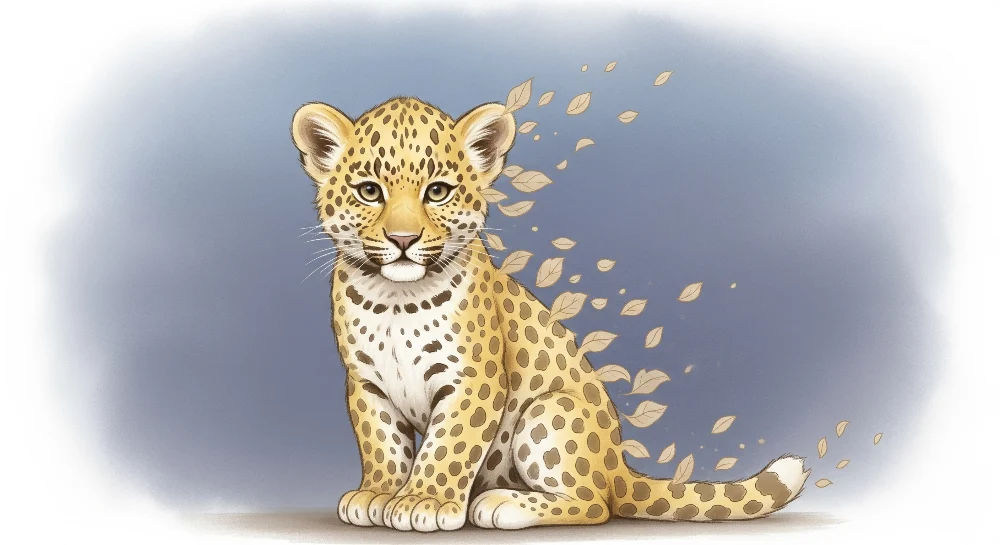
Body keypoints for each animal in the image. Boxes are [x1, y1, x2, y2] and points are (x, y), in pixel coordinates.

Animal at [289, 95, 810, 532]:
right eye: (369, 191)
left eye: (437, 192)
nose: (402, 240)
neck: (395, 299)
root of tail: (618, 465)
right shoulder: (366, 382)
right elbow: (381, 443)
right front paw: (377, 494)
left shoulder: (473, 379)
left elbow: (449, 445)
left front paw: (426, 501)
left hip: (550, 411)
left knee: (595, 505)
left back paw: (502, 504)